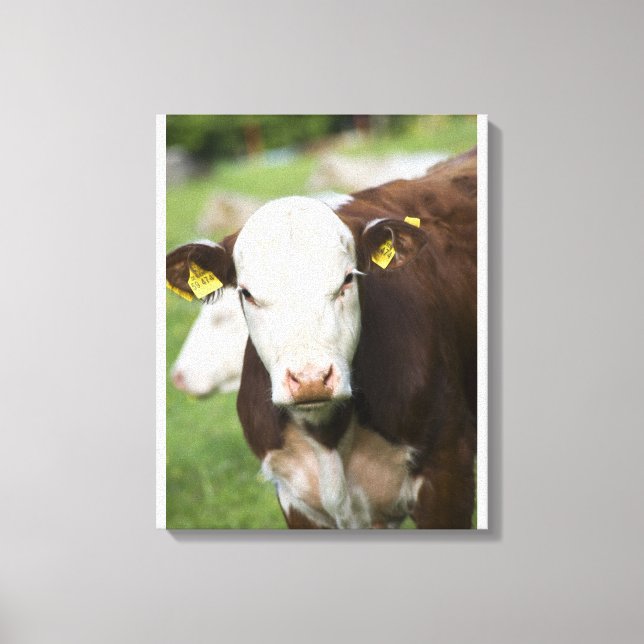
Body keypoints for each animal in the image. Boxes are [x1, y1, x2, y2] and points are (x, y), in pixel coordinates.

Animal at [166, 147, 478, 529]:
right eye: (247, 293)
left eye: (348, 279)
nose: (310, 378)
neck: (328, 437)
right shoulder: (296, 500)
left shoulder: (447, 475)